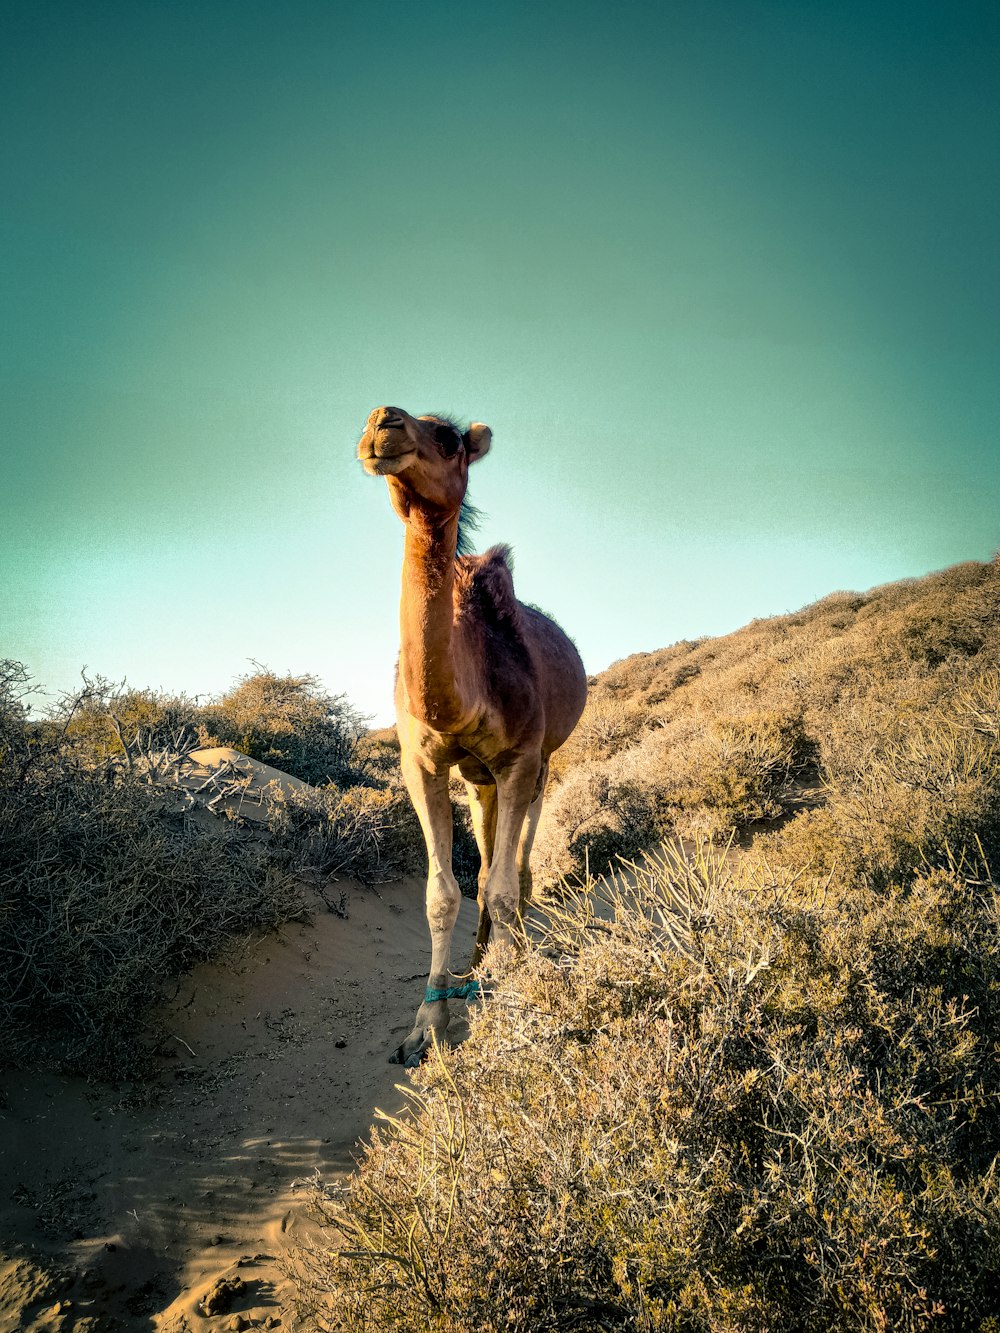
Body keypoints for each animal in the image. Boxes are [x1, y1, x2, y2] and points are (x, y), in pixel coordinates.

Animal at [357, 402, 586, 1061]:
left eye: (449, 437)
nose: (383, 421)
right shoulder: (423, 764)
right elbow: (443, 894)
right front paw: (426, 1025)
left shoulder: (520, 757)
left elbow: (505, 885)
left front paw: (511, 990)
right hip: (477, 779)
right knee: (485, 863)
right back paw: (480, 959)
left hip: (538, 766)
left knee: (518, 865)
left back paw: (509, 952)